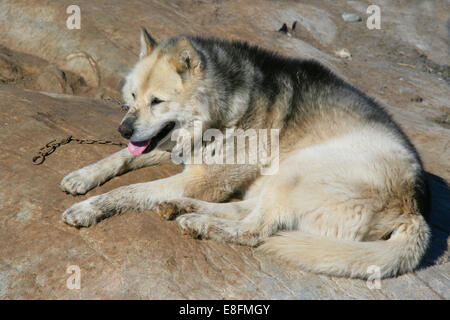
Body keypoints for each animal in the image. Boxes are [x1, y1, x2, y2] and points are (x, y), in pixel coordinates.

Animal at [59, 28, 428, 278]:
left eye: (157, 102)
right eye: (133, 96)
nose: (122, 130)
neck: (226, 107)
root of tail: (413, 209)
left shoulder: (200, 178)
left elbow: (128, 191)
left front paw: (88, 209)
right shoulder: (181, 152)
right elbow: (121, 157)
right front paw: (82, 176)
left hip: (299, 167)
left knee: (255, 230)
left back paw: (199, 221)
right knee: (246, 212)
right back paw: (182, 208)